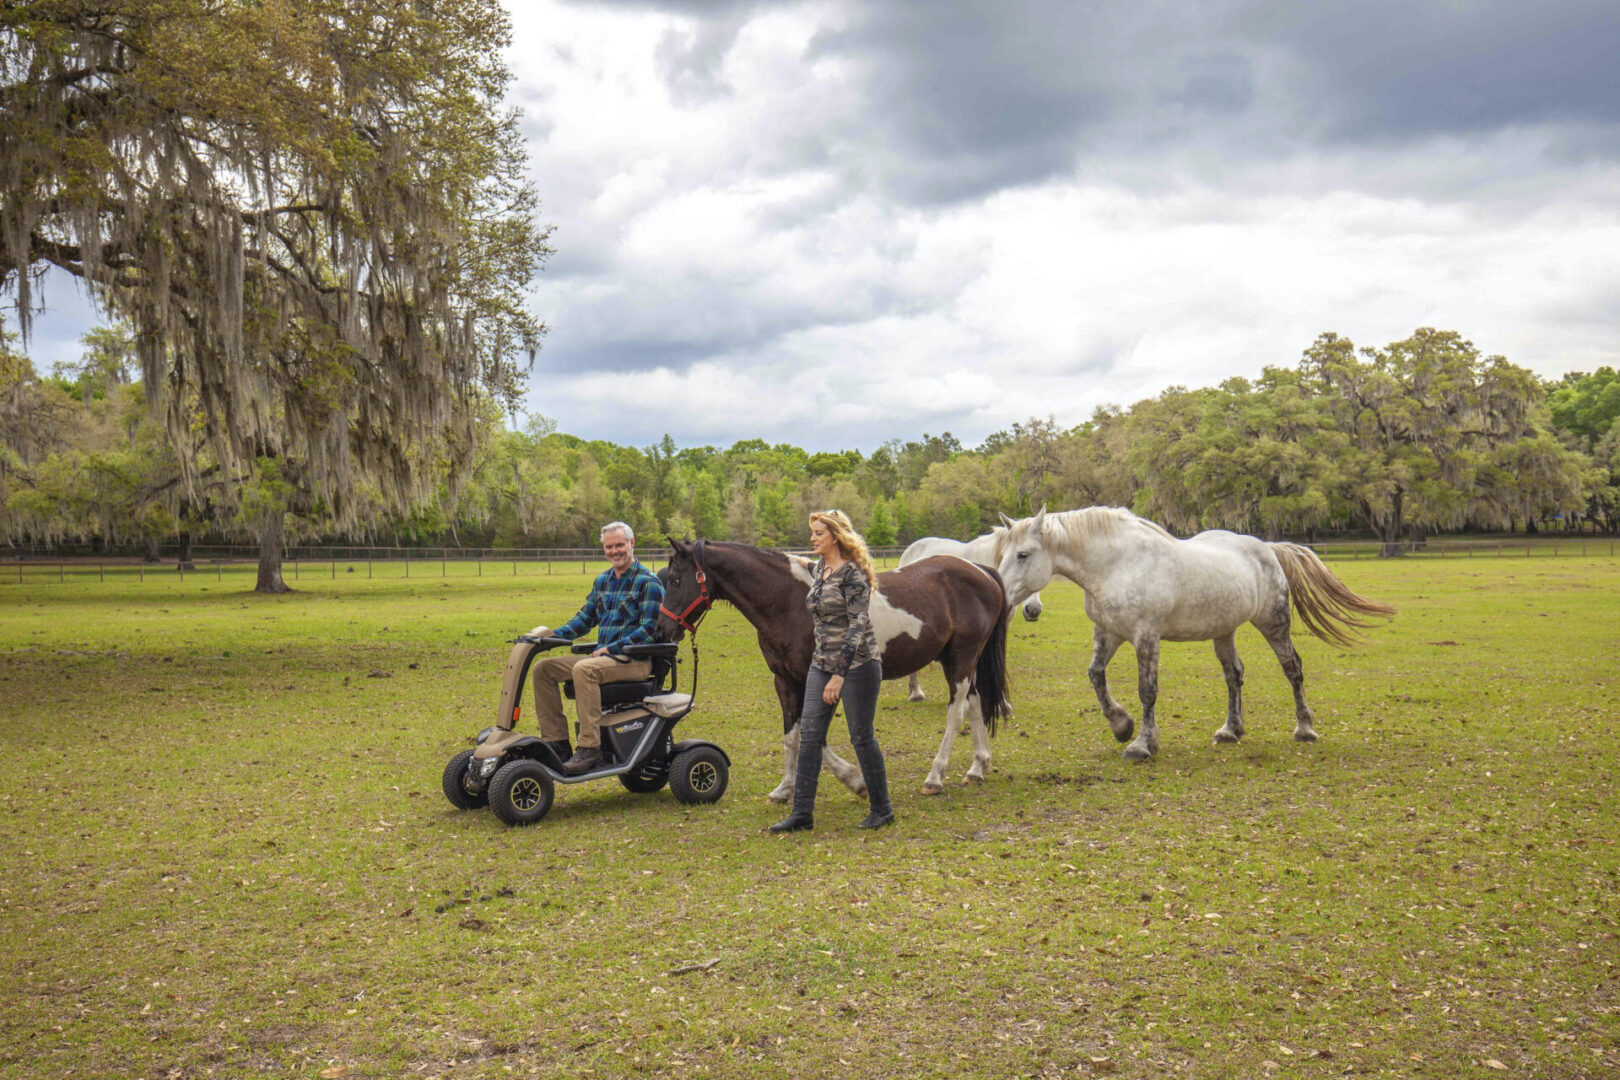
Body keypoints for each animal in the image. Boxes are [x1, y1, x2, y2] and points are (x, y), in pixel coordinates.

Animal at [651, 540, 1004, 803]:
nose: (663, 628)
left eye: (676, 579)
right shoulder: (785, 681)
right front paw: (785, 788)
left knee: (956, 712)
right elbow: (792, 734)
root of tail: (981, 571)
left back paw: (935, 777)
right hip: (960, 662)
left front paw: (856, 780)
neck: (789, 601)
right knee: (974, 703)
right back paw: (978, 767)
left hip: (960, 660)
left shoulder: (820, 680)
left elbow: (812, 735)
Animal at [991, 508, 1399, 761]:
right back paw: (1231, 730)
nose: (1000, 593)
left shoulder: (1145, 637)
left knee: (1293, 669)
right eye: (1004, 553)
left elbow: (1147, 690)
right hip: (1224, 631)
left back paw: (1305, 729)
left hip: (1273, 623)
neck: (1116, 564)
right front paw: (1121, 725)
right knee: (1234, 675)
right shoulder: (1108, 633)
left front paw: (1141, 744)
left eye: (1023, 554)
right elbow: (1095, 676)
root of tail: (1267, 548)